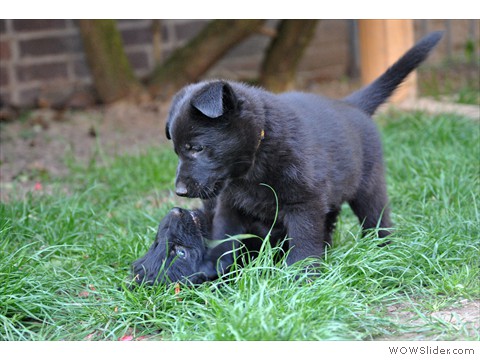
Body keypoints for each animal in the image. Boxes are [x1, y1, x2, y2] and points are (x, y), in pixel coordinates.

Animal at [164, 31, 442, 276]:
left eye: (197, 148)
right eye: (177, 151)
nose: (180, 191)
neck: (256, 157)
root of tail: (351, 105)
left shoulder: (304, 202)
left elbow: (304, 241)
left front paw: (301, 275)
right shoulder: (230, 204)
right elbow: (224, 238)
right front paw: (216, 271)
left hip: (368, 186)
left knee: (377, 219)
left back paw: (381, 250)